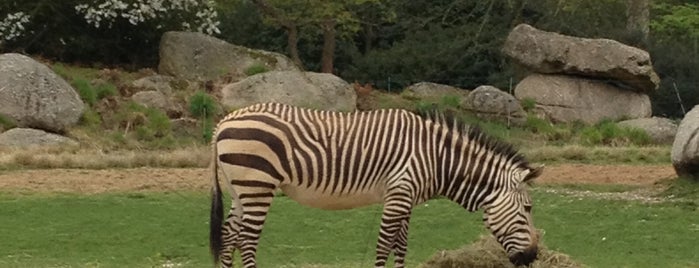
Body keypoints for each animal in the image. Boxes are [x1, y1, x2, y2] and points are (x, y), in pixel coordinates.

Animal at [211, 102, 544, 268]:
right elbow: (385, 245)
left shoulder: (407, 198)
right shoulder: (398, 194)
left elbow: (401, 246)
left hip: (240, 189)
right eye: (528, 208)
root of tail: (224, 121)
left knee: (229, 236)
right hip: (257, 185)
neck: (437, 157)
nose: (533, 257)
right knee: (246, 240)